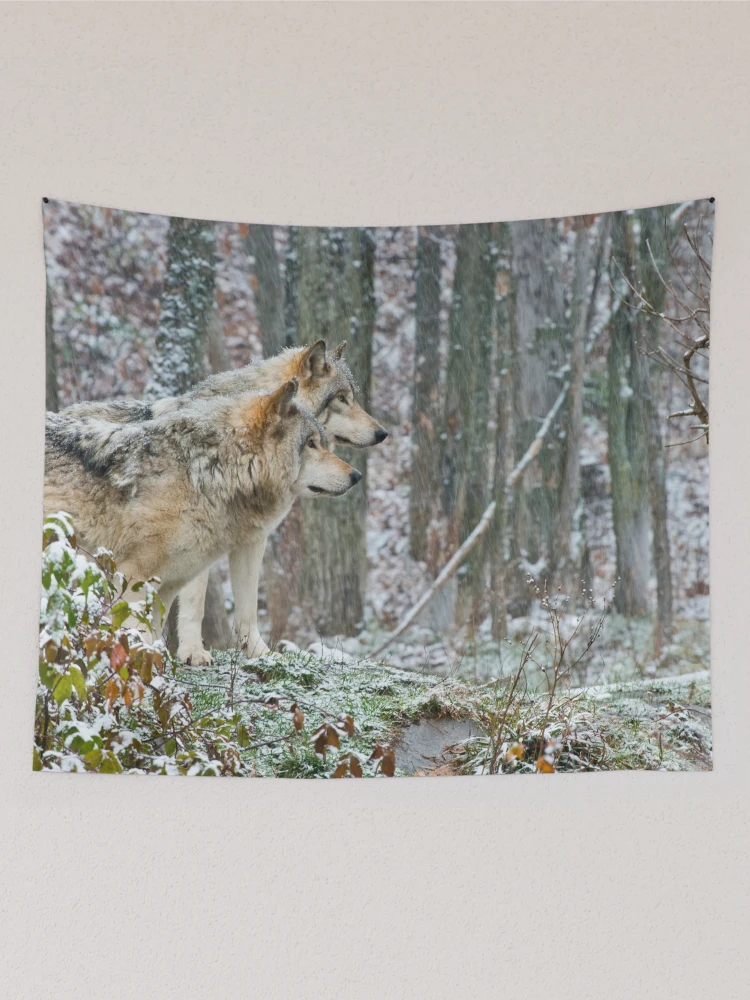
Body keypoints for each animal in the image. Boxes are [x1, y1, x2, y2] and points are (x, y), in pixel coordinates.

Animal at [61, 340, 388, 663]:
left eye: (354, 398)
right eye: (343, 399)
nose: (382, 432)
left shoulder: (252, 542)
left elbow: (248, 609)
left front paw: (260, 654)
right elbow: (195, 603)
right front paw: (192, 652)